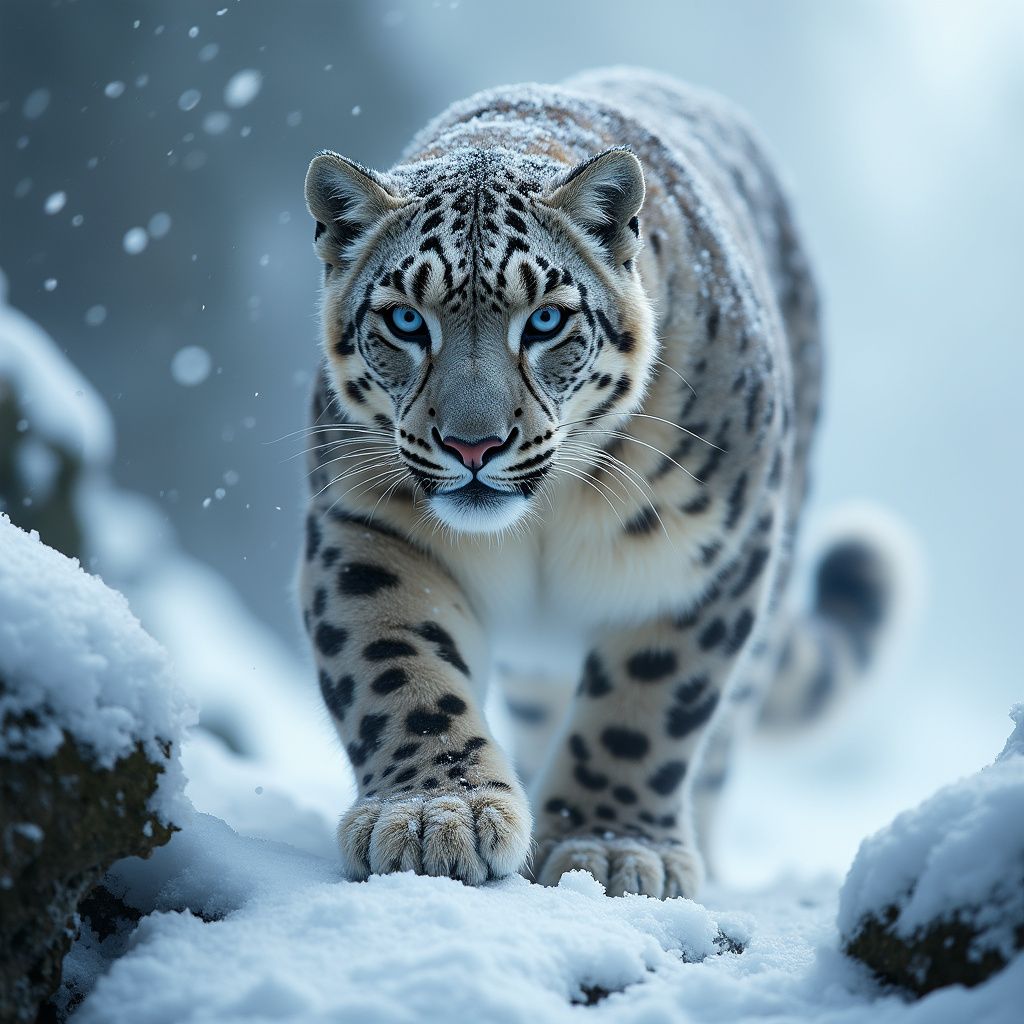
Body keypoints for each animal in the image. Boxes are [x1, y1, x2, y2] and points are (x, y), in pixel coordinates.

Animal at [297, 67, 894, 899]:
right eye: (406, 321)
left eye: (546, 321)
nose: (474, 443)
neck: (542, 524)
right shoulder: (369, 528)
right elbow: (395, 666)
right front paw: (433, 817)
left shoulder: (701, 554)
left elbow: (648, 707)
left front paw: (608, 848)